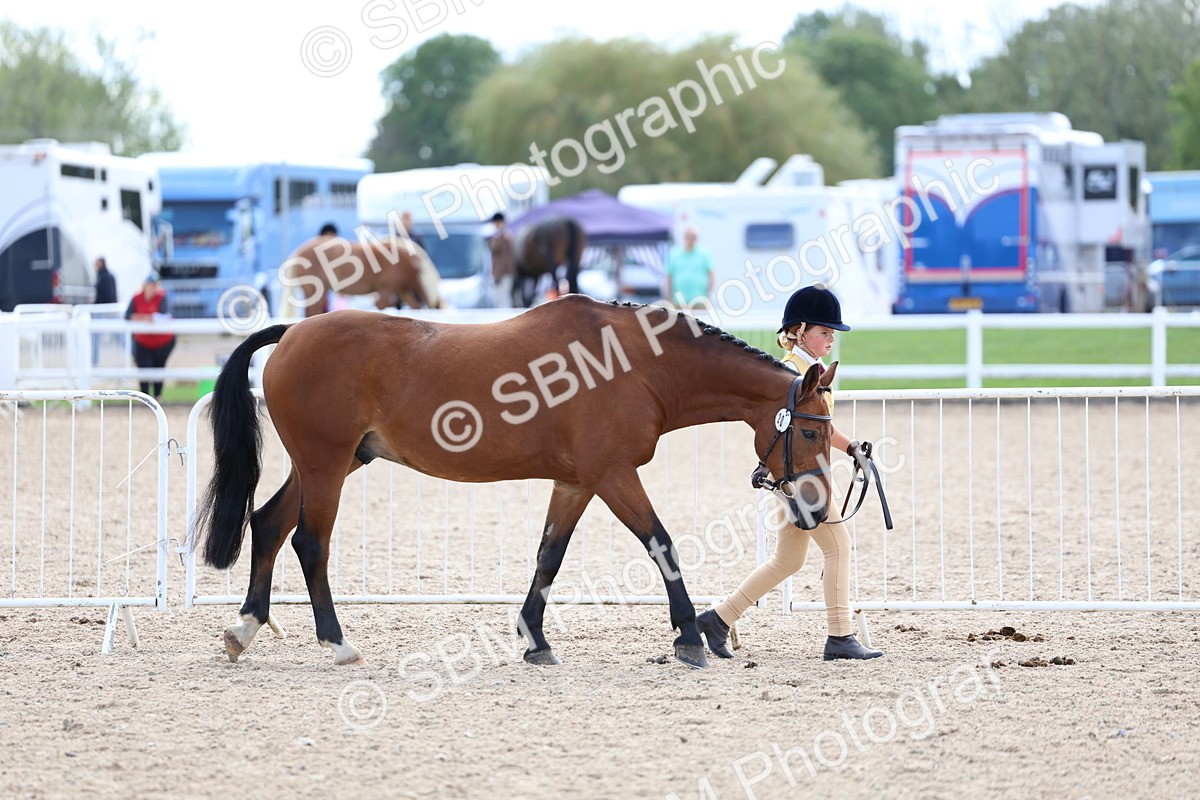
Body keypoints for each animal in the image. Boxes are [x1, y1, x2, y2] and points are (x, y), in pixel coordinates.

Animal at [192, 295, 838, 668]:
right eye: (810, 431)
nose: (815, 509)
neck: (633, 364)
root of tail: (292, 333)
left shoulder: (576, 482)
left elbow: (549, 556)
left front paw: (536, 640)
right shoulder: (613, 475)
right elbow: (662, 544)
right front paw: (688, 638)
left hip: (333, 463)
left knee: (268, 524)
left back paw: (243, 630)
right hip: (327, 466)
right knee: (310, 542)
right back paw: (335, 642)